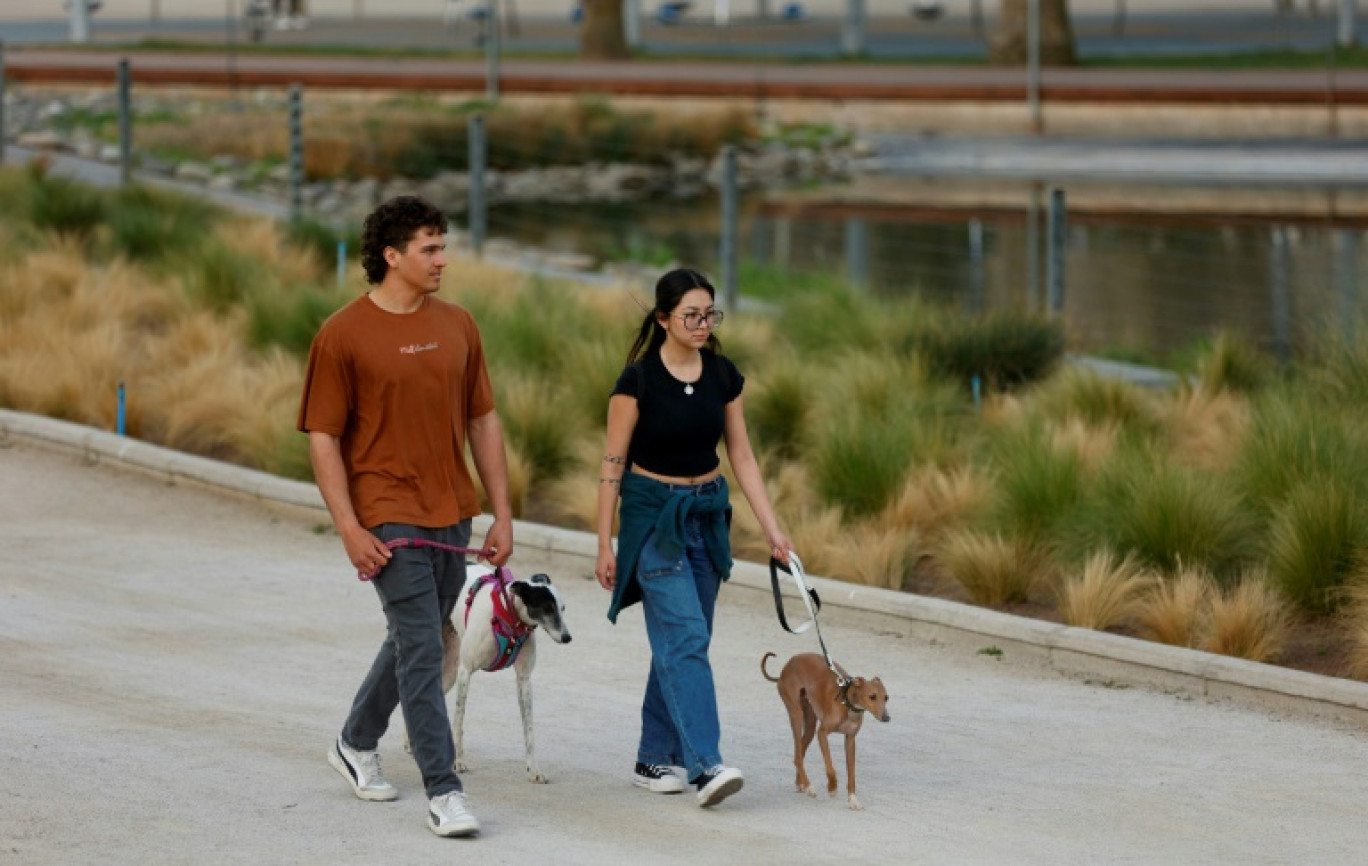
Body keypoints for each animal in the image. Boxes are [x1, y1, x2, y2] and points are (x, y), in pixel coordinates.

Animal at [437, 563, 566, 782]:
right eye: (548, 608)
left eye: (563, 608)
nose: (567, 637)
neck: (509, 616)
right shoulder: (466, 672)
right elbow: (458, 722)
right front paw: (458, 761)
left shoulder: (524, 680)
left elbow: (529, 730)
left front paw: (534, 769)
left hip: (450, 671)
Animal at [760, 648, 886, 809]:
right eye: (872, 696)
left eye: (886, 697)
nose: (886, 717)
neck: (846, 702)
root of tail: (785, 669)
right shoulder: (822, 733)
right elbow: (830, 767)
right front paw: (832, 787)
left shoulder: (850, 739)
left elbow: (851, 775)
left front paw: (853, 800)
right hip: (796, 714)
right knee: (797, 757)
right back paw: (808, 786)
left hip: (810, 724)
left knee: (799, 754)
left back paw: (800, 784)